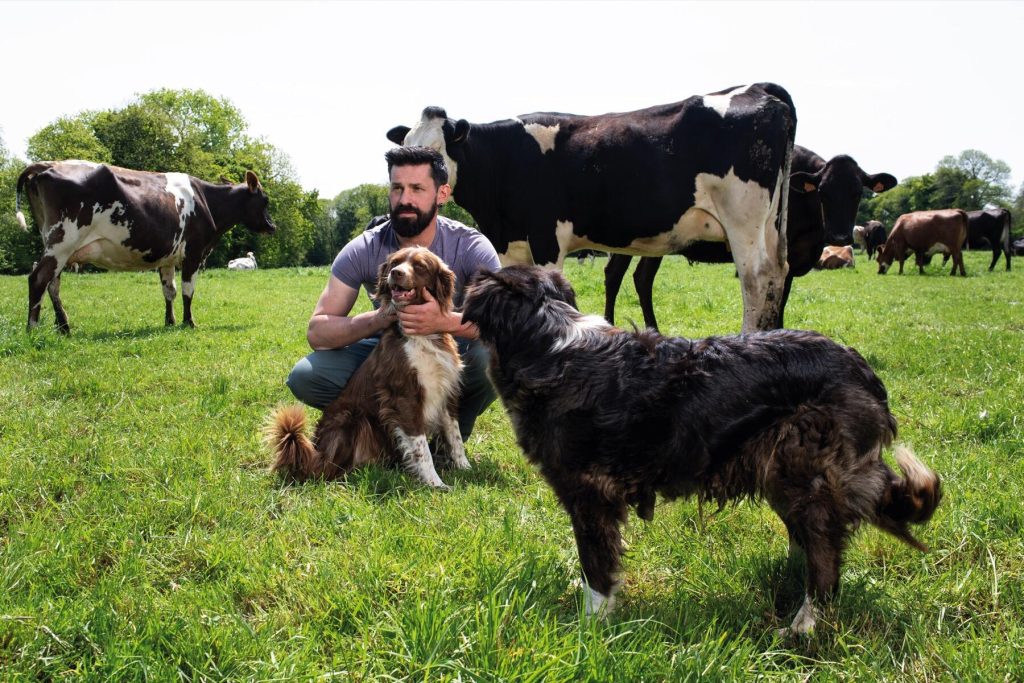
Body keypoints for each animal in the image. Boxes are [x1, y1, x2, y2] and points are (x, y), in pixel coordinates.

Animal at [18, 160, 274, 331]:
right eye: (265, 200)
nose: (272, 226)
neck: (207, 202)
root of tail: (48, 165)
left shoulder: (167, 257)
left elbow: (169, 291)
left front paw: (169, 322)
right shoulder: (193, 253)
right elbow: (187, 291)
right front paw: (189, 322)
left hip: (57, 243)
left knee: (52, 284)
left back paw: (64, 327)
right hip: (63, 241)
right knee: (39, 278)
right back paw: (33, 328)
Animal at [266, 248, 468, 489]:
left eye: (420, 266)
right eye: (395, 262)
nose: (396, 273)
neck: (423, 337)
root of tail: (316, 454)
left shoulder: (446, 389)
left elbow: (454, 434)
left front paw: (466, 467)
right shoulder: (404, 395)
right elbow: (420, 447)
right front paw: (434, 482)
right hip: (352, 418)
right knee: (328, 471)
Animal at [387, 81, 794, 331]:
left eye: (436, 152)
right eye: (403, 146)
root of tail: (756, 87)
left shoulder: (546, 239)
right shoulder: (510, 246)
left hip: (742, 218)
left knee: (756, 279)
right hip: (771, 224)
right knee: (777, 275)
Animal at [464, 266, 942, 634]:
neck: (548, 342)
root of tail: (863, 371)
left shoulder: (589, 494)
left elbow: (596, 569)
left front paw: (590, 630)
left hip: (802, 474)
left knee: (826, 562)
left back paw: (801, 628)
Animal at [598, 146, 897, 331]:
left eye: (858, 192)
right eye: (823, 191)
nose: (839, 235)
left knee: (642, 278)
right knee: (614, 275)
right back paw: (608, 324)